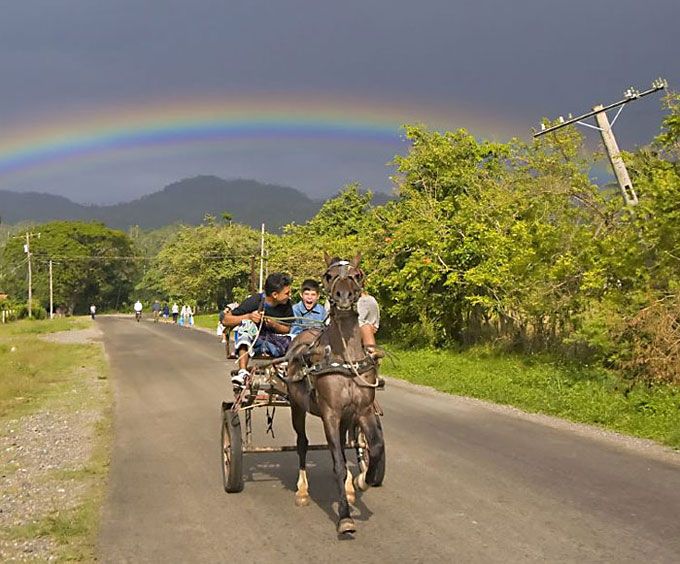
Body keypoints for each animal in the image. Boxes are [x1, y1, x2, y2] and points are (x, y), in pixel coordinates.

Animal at [284, 253, 386, 536]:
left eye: (357, 274)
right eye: (328, 276)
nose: (343, 297)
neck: (345, 361)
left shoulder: (362, 411)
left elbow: (374, 446)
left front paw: (362, 481)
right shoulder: (330, 414)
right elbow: (338, 463)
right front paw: (345, 517)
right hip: (297, 407)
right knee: (302, 443)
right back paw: (302, 491)